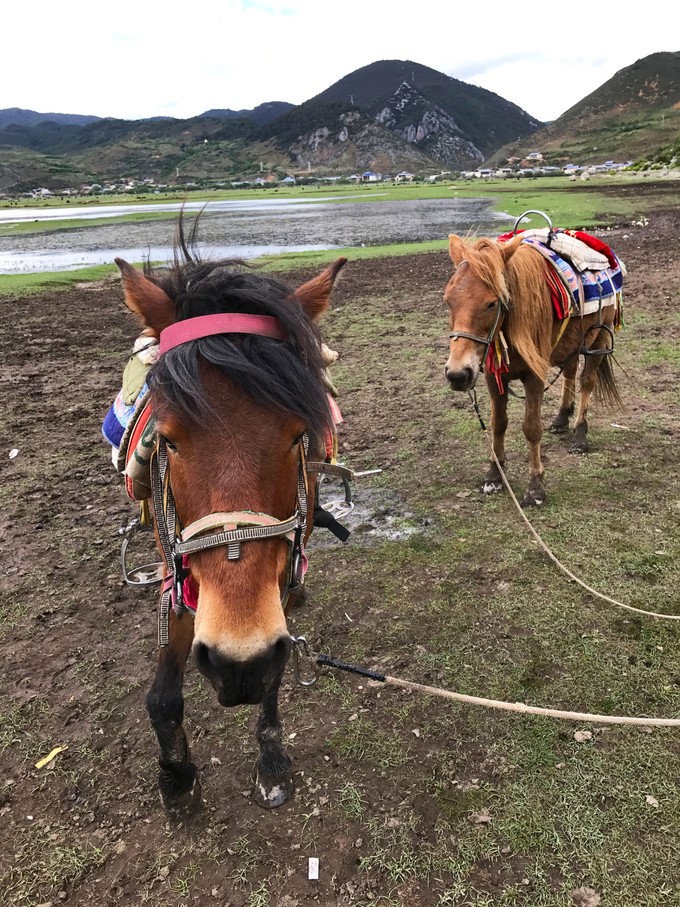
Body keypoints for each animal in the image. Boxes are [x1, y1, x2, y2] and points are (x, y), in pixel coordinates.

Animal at [115, 238, 346, 812]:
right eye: (168, 439)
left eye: (297, 435)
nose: (238, 662)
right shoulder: (176, 567)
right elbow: (163, 695)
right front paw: (176, 775)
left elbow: (275, 677)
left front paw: (272, 762)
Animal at [444, 231, 624, 508]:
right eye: (448, 301)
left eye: (491, 304)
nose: (457, 375)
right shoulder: (493, 377)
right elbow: (498, 424)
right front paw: (494, 475)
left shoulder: (534, 376)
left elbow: (531, 429)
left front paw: (536, 487)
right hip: (571, 343)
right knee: (570, 372)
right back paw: (561, 418)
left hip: (599, 340)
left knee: (587, 382)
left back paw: (580, 436)